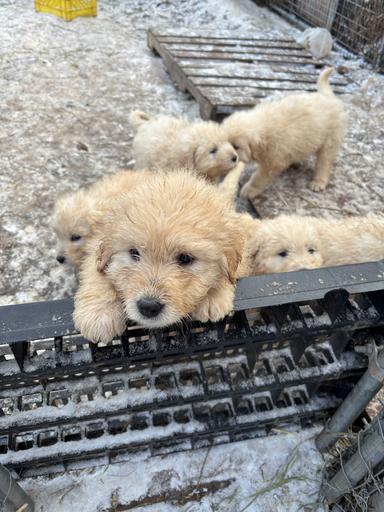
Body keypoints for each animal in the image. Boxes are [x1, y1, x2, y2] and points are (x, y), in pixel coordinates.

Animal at [220, 66, 346, 198]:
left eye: (236, 146)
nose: (230, 158)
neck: (264, 129)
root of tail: (329, 97)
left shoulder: (273, 162)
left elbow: (258, 178)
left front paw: (249, 190)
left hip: (330, 141)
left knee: (324, 163)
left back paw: (318, 182)